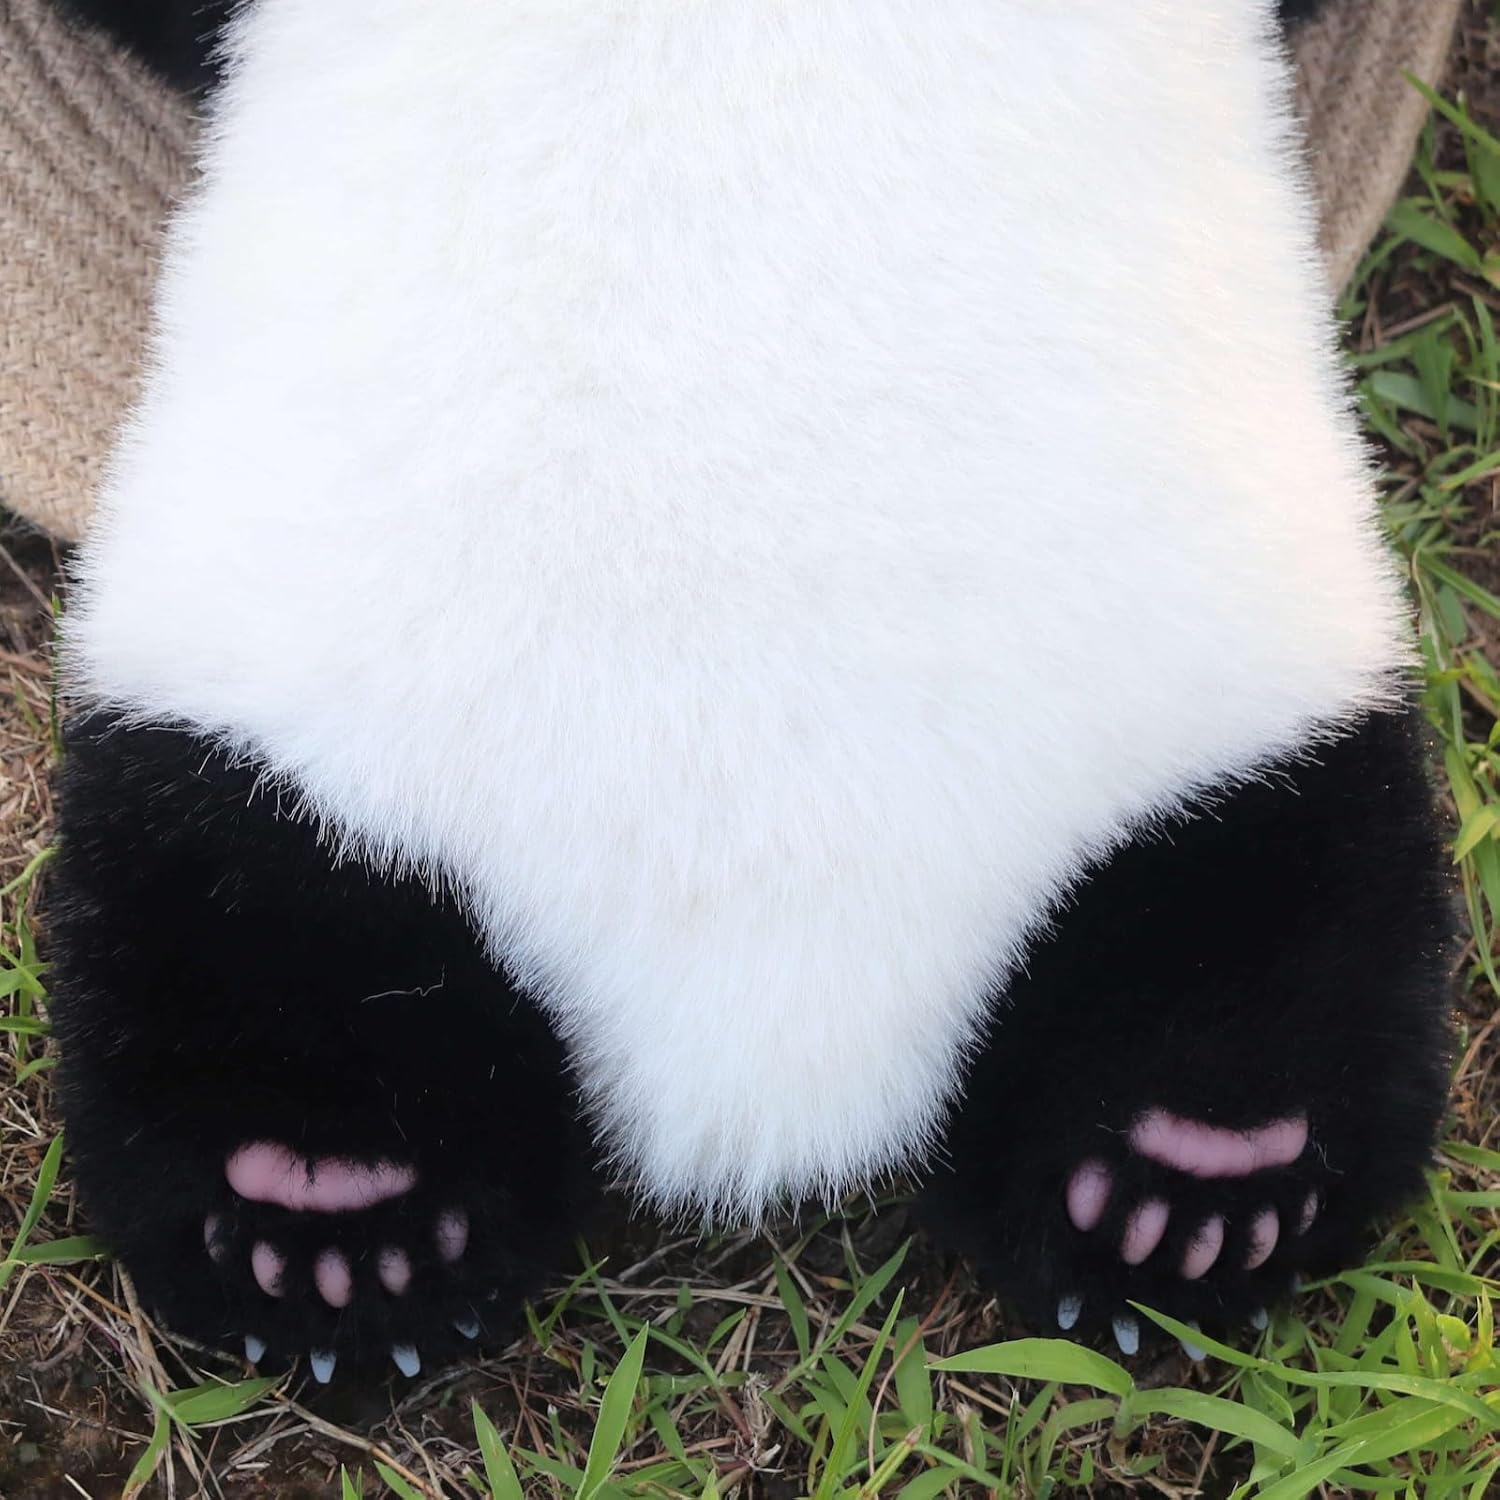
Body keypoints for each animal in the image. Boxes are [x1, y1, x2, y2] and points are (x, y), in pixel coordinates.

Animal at [46, 0, 1455, 1382]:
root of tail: (757, 1048)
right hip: (304, 756)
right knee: (251, 932)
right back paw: (336, 1216)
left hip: (1217, 726)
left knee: (1282, 927)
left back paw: (1191, 1185)